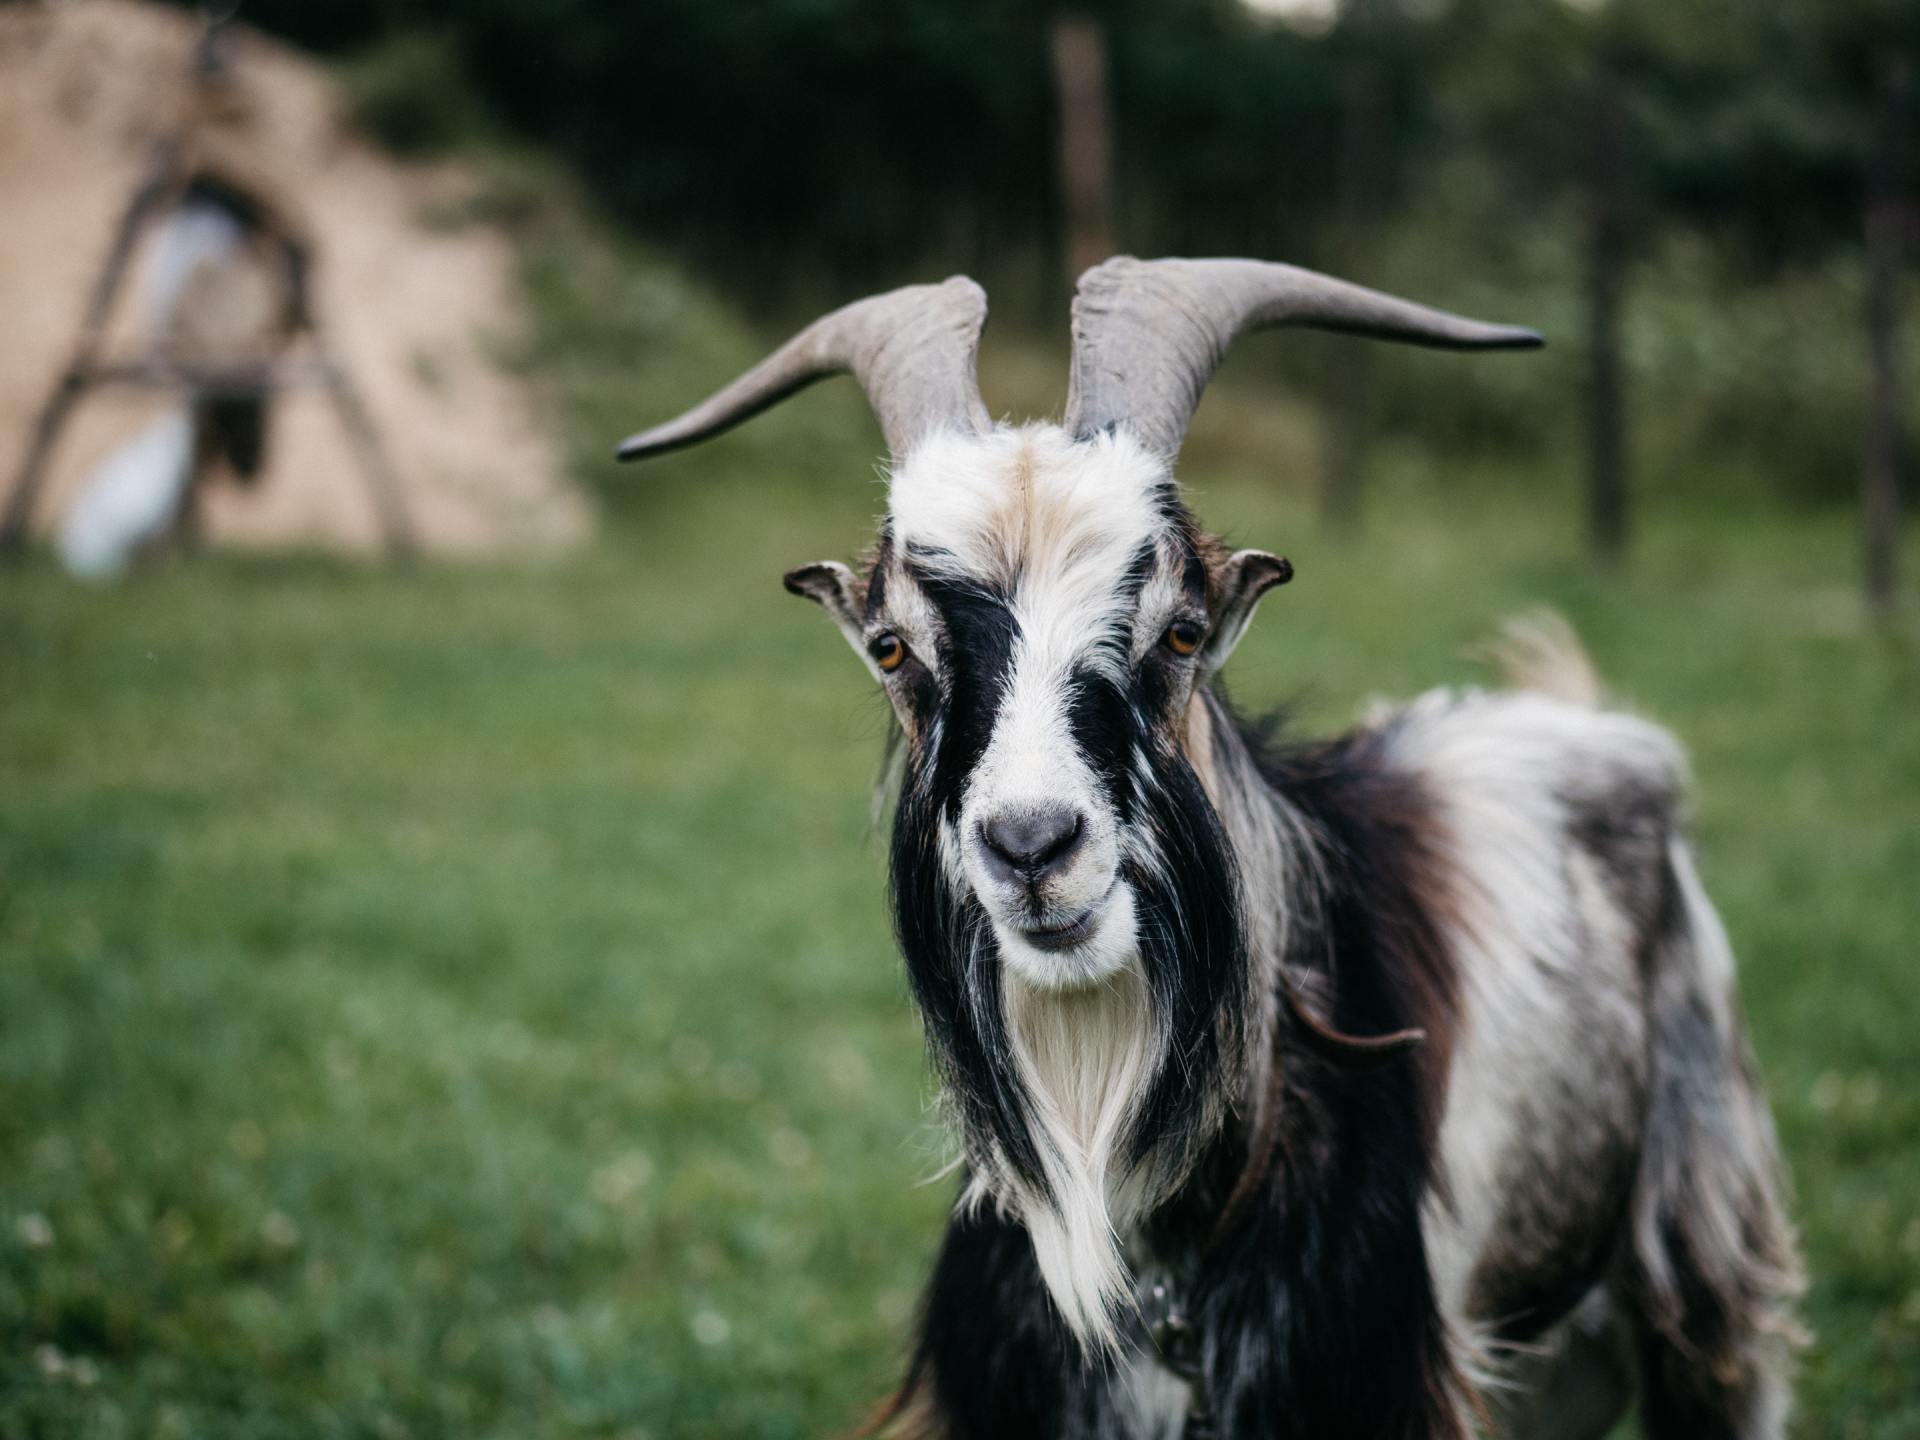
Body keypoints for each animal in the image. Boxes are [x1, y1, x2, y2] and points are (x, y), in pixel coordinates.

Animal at [617, 258, 1802, 1440]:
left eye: (1180, 631)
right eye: (892, 648)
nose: (1032, 846)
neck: (1162, 1260)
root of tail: (1581, 714)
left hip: (1709, 1267)